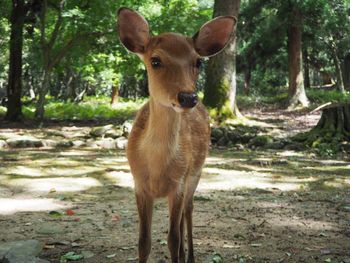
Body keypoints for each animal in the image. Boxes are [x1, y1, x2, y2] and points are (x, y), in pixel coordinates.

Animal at [117, 8, 235, 263]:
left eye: (198, 61)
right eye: (155, 60)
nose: (188, 97)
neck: (157, 169)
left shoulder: (179, 183)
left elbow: (172, 239)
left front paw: (180, 253)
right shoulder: (138, 184)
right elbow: (144, 242)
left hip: (196, 174)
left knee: (187, 213)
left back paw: (189, 257)